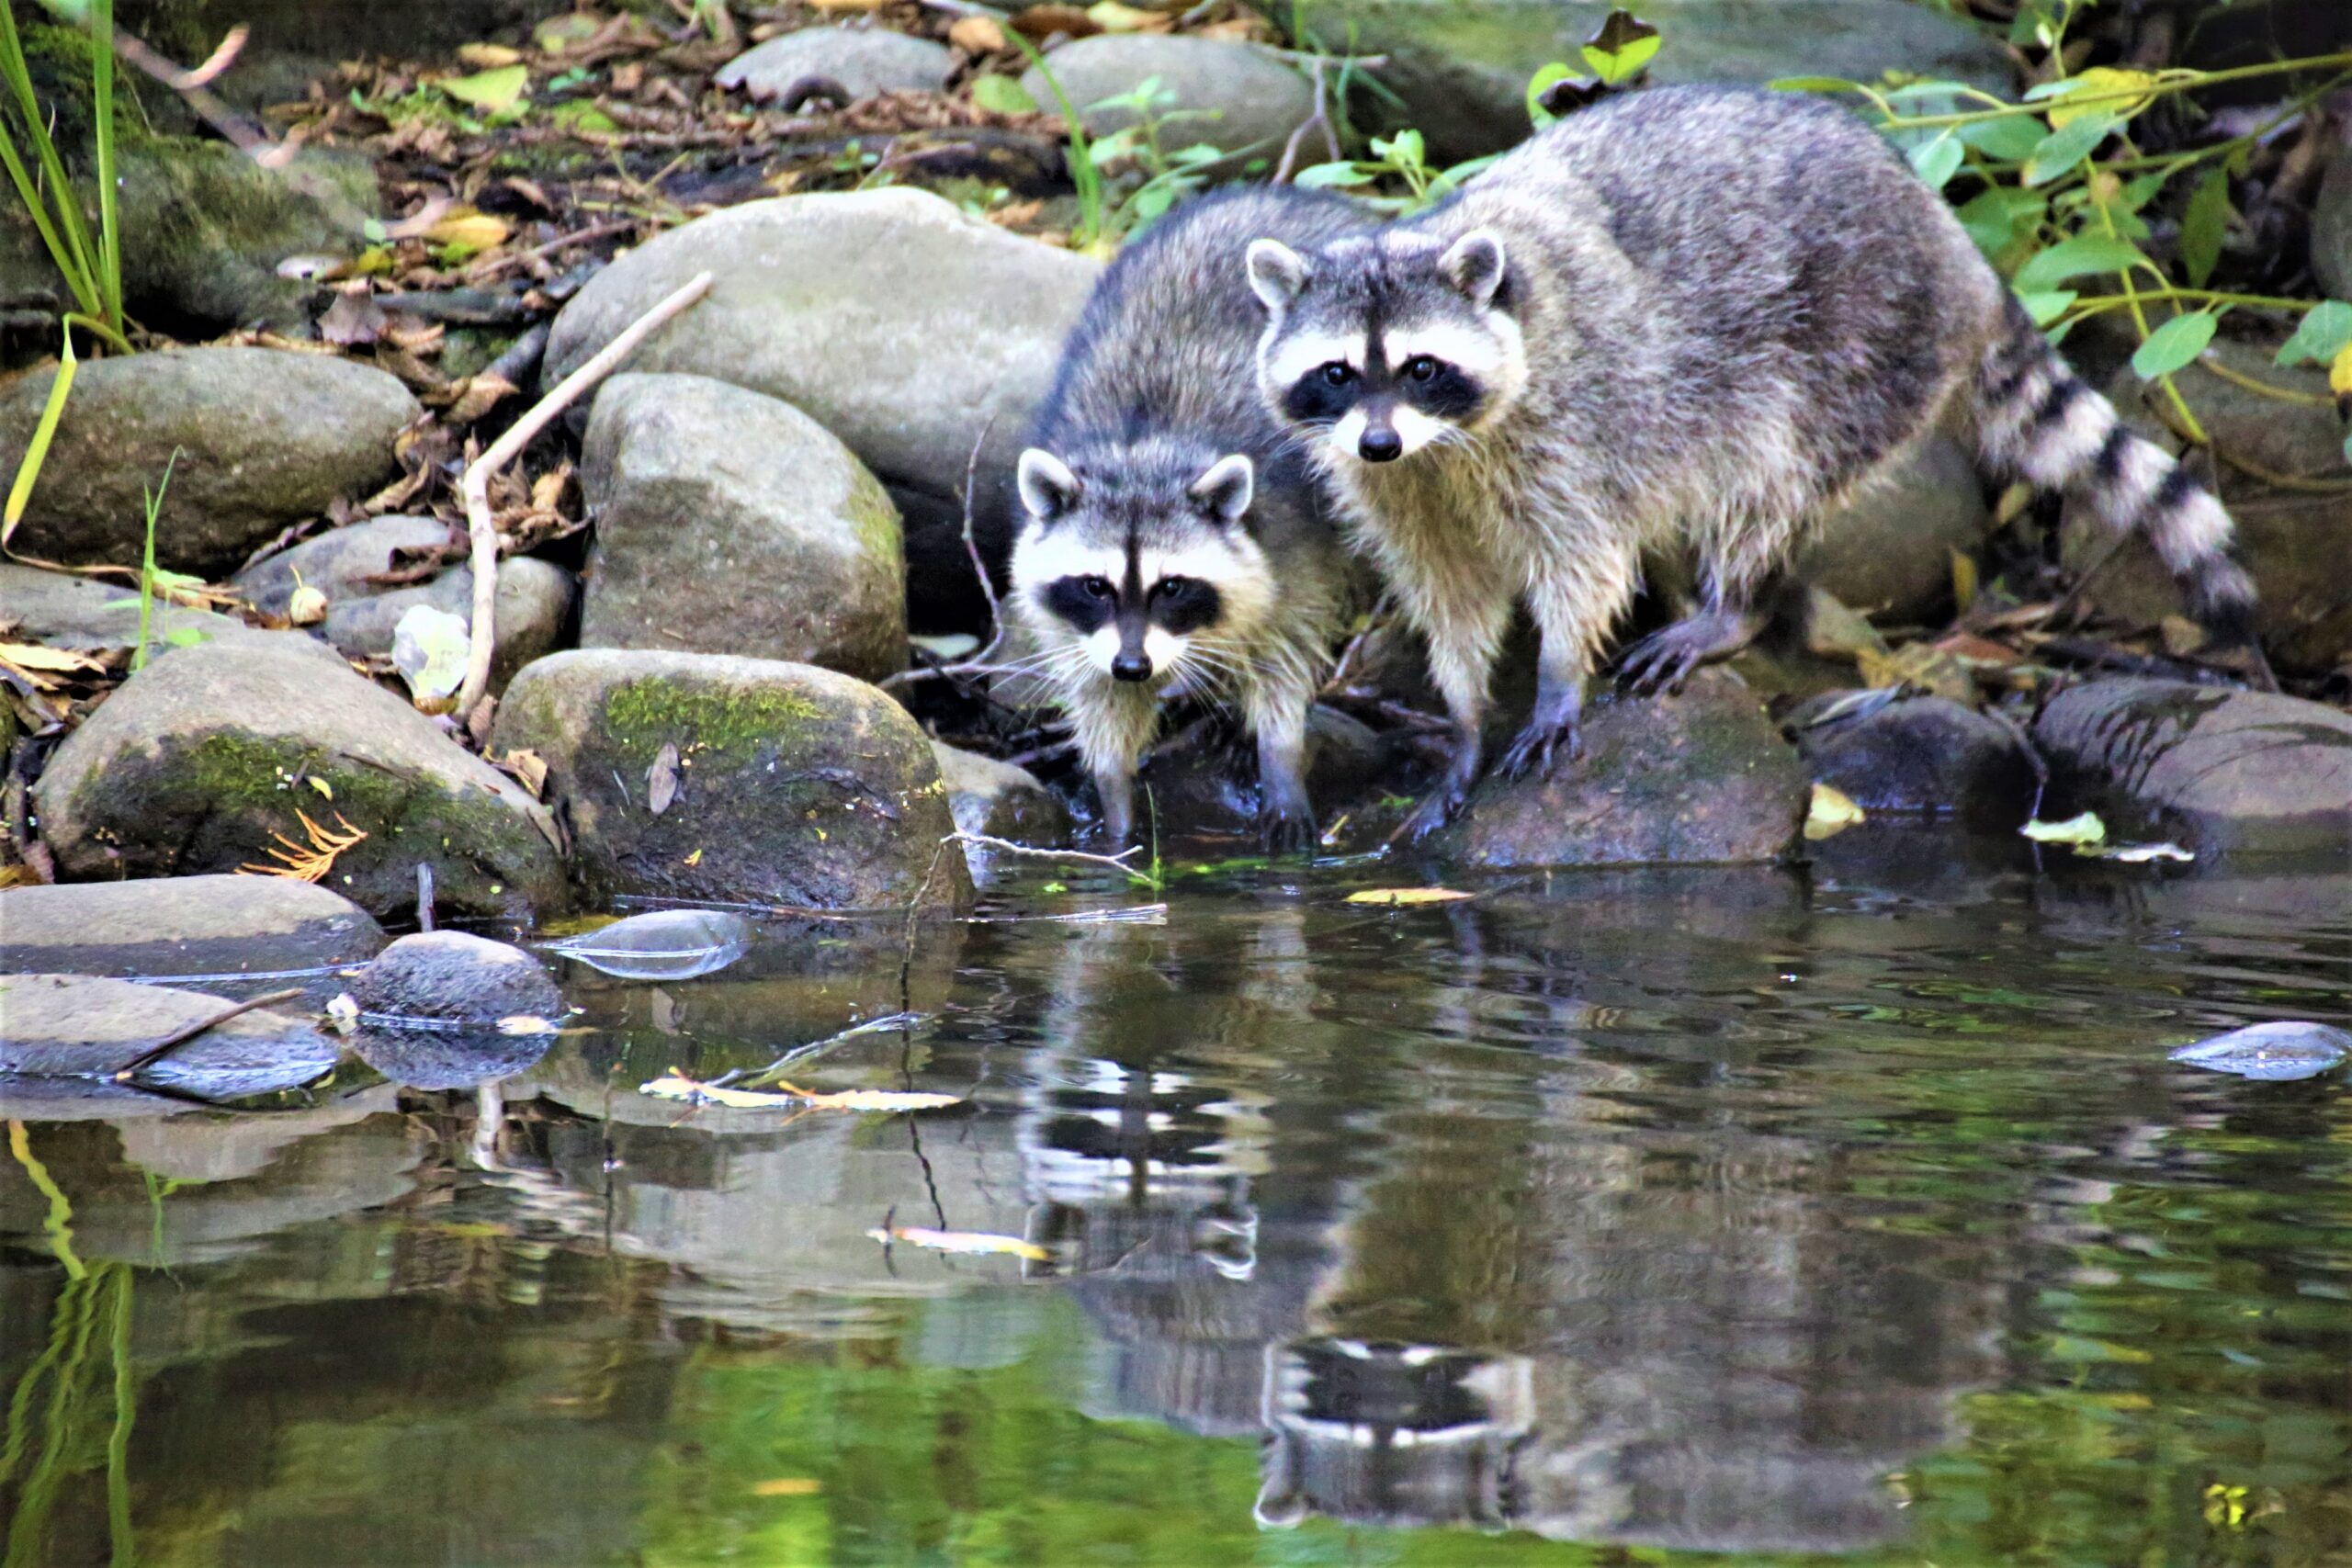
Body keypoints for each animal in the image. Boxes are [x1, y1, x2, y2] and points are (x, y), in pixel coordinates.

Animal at [1006, 187, 1374, 851]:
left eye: (1172, 586)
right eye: (1094, 586)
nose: (1133, 666)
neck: (1142, 454)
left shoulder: (1290, 534)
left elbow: (1286, 647)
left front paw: (1280, 754)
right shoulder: (1073, 622)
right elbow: (1098, 697)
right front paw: (1115, 804)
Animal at [1250, 85, 2257, 841]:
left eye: (1421, 367)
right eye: (1338, 373)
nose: (1379, 440)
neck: (1441, 448)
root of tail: (1952, 244)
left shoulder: (1572, 428)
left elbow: (1584, 560)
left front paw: (1557, 678)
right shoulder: (1394, 488)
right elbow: (1449, 590)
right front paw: (1462, 720)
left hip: (1853, 340)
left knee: (1767, 472)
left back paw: (1735, 603)